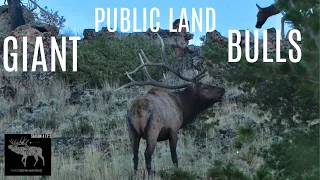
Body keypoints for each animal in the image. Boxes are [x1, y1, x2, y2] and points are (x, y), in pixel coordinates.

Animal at [115, 33, 225, 179]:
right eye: (205, 87)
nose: (222, 90)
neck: (183, 109)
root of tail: (137, 109)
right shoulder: (173, 130)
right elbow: (174, 157)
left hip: (131, 131)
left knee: (134, 156)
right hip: (153, 129)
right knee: (147, 154)